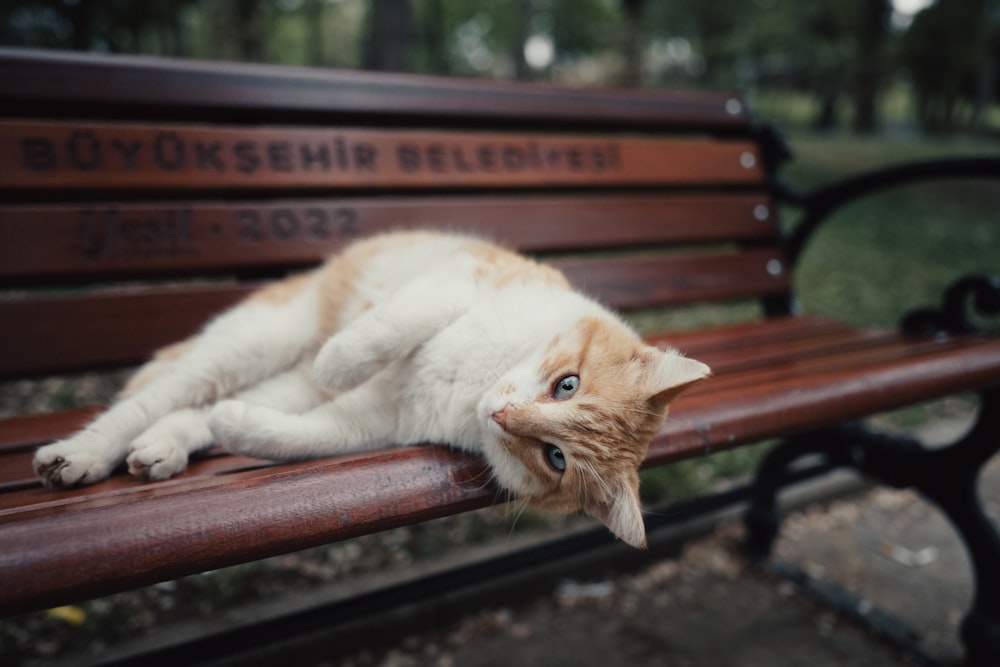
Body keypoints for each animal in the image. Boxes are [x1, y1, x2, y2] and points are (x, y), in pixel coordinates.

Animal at [33, 230, 712, 548]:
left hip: (277, 381)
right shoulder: (454, 284)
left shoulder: (372, 420)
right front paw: (340, 358)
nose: (501, 414)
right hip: (254, 343)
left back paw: (163, 449)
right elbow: (385, 329)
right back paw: (78, 456)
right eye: (566, 384)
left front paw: (238, 426)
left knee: (194, 411)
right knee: (153, 398)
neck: (474, 380)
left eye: (555, 458)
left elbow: (296, 439)